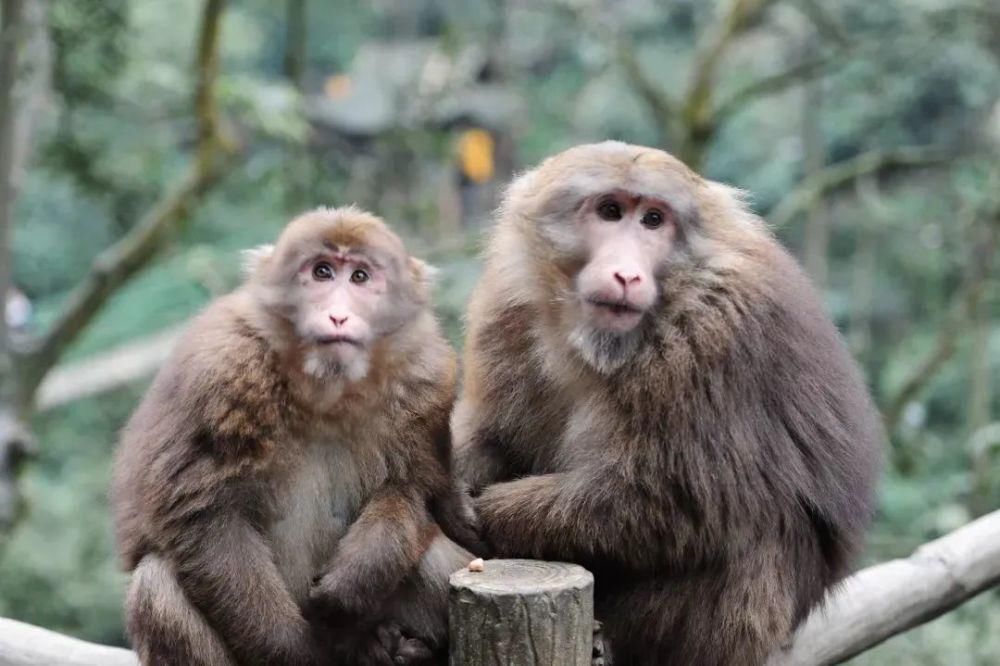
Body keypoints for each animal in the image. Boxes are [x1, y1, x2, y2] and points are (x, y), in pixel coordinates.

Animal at [111, 205, 478, 660]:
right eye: (321, 272)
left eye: (360, 276)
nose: (338, 314)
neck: (325, 396)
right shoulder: (219, 371)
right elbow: (205, 519)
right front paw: (295, 651)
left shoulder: (425, 382)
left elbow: (415, 488)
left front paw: (354, 580)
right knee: (155, 586)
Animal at [456, 141, 884, 664]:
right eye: (610, 211)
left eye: (654, 220)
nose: (626, 273)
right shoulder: (508, 312)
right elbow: (494, 438)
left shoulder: (714, 333)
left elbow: (676, 498)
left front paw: (485, 514)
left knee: (756, 527)